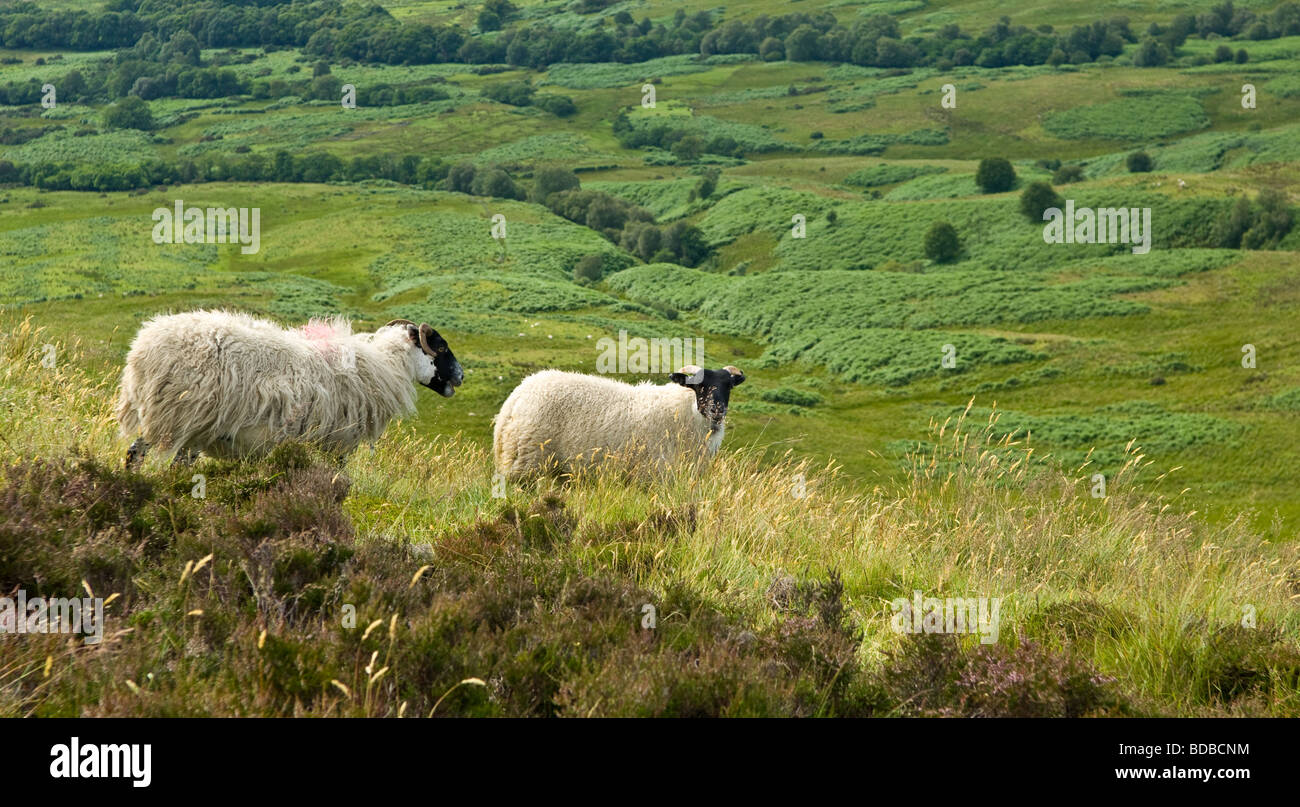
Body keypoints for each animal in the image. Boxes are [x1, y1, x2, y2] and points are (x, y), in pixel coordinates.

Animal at [115, 310, 462, 465]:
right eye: (442, 346)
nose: (461, 376)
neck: (386, 364)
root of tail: (142, 351)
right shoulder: (337, 443)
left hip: (172, 420)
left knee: (136, 453)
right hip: (178, 419)